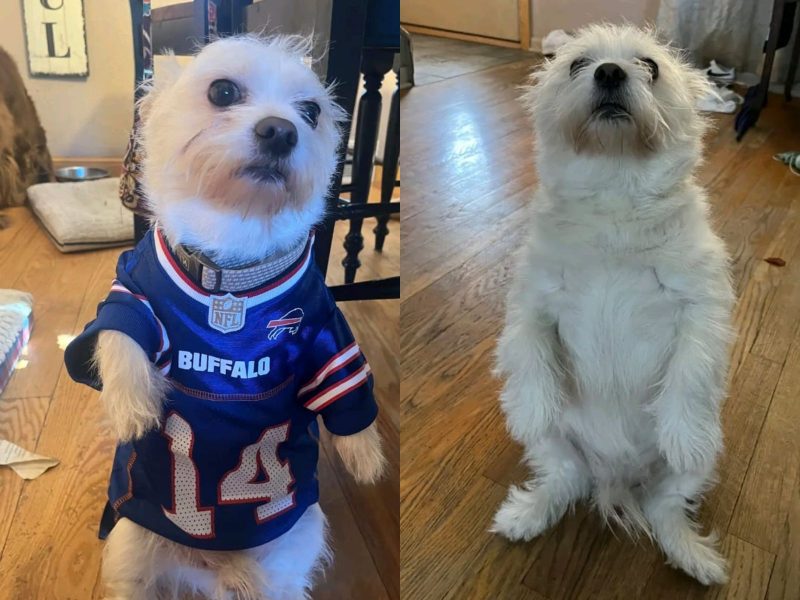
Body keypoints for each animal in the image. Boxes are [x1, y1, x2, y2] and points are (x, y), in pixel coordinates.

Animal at [65, 34, 384, 600]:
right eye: (223, 91)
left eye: (311, 112)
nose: (281, 129)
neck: (231, 269)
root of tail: (212, 569)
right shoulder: (130, 289)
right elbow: (120, 334)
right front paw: (131, 408)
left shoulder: (328, 339)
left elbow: (348, 397)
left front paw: (365, 458)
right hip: (128, 549)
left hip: (287, 555)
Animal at [490, 25, 736, 584]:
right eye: (578, 64)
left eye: (650, 66)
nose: (609, 72)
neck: (614, 189)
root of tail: (616, 470)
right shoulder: (533, 298)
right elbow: (527, 351)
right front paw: (530, 407)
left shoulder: (702, 305)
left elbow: (692, 370)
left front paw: (682, 432)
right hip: (557, 445)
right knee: (563, 478)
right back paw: (526, 515)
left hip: (699, 467)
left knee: (667, 505)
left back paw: (693, 556)